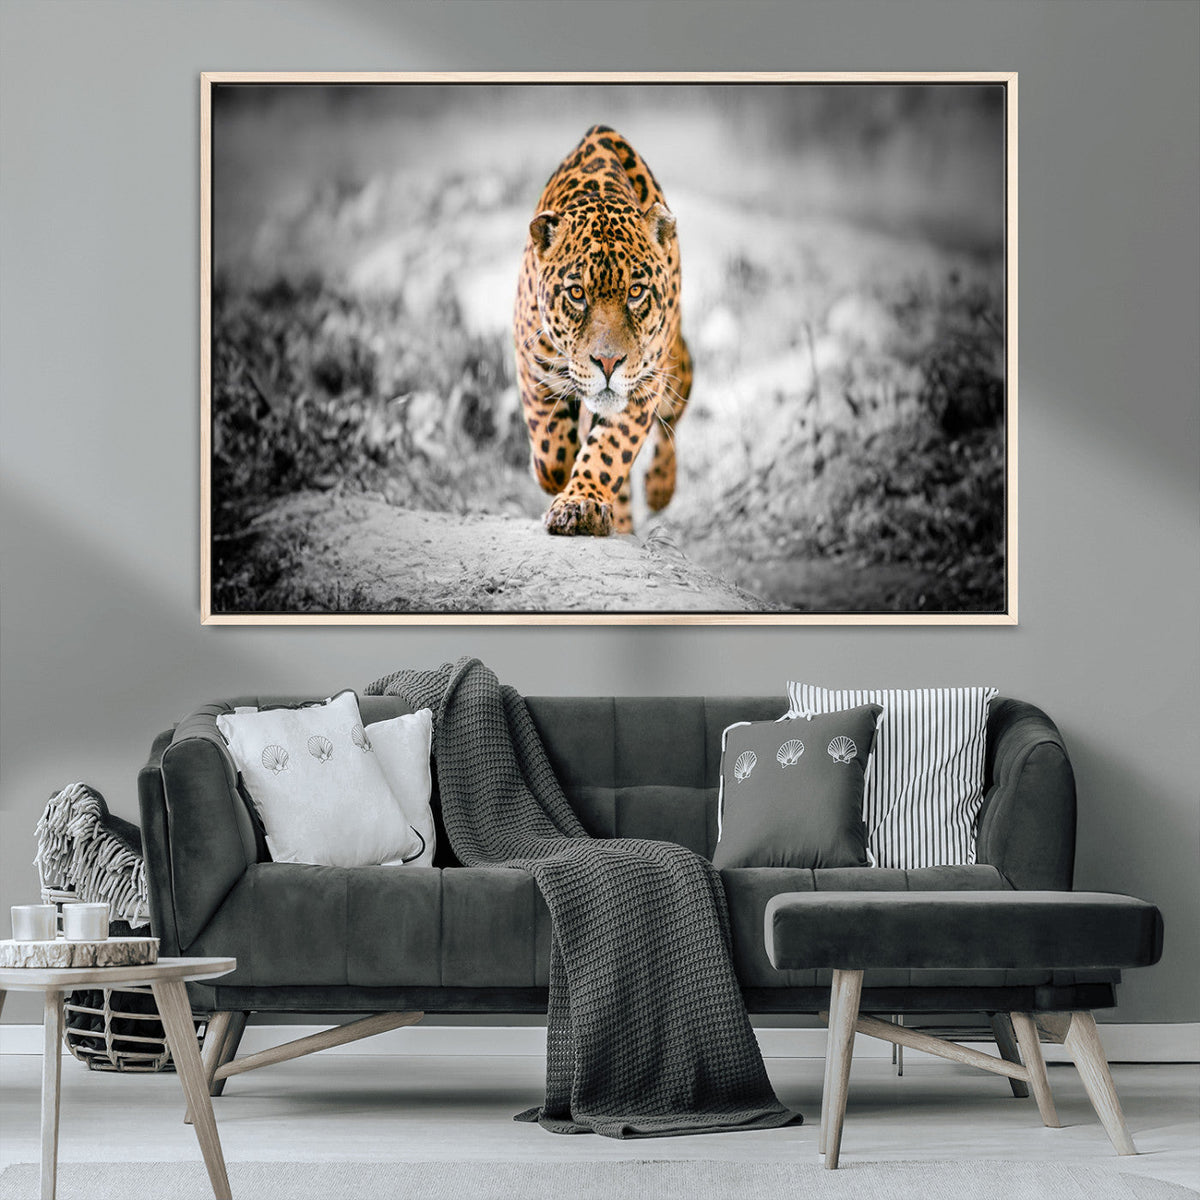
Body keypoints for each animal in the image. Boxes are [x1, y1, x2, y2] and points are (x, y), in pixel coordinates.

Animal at [513, 125, 693, 537]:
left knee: (672, 419)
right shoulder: (532, 361)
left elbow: (609, 450)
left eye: (636, 292)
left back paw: (659, 488)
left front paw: (580, 503)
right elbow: (550, 450)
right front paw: (556, 476)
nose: (608, 363)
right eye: (577, 293)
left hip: (676, 367)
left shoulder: (644, 383)